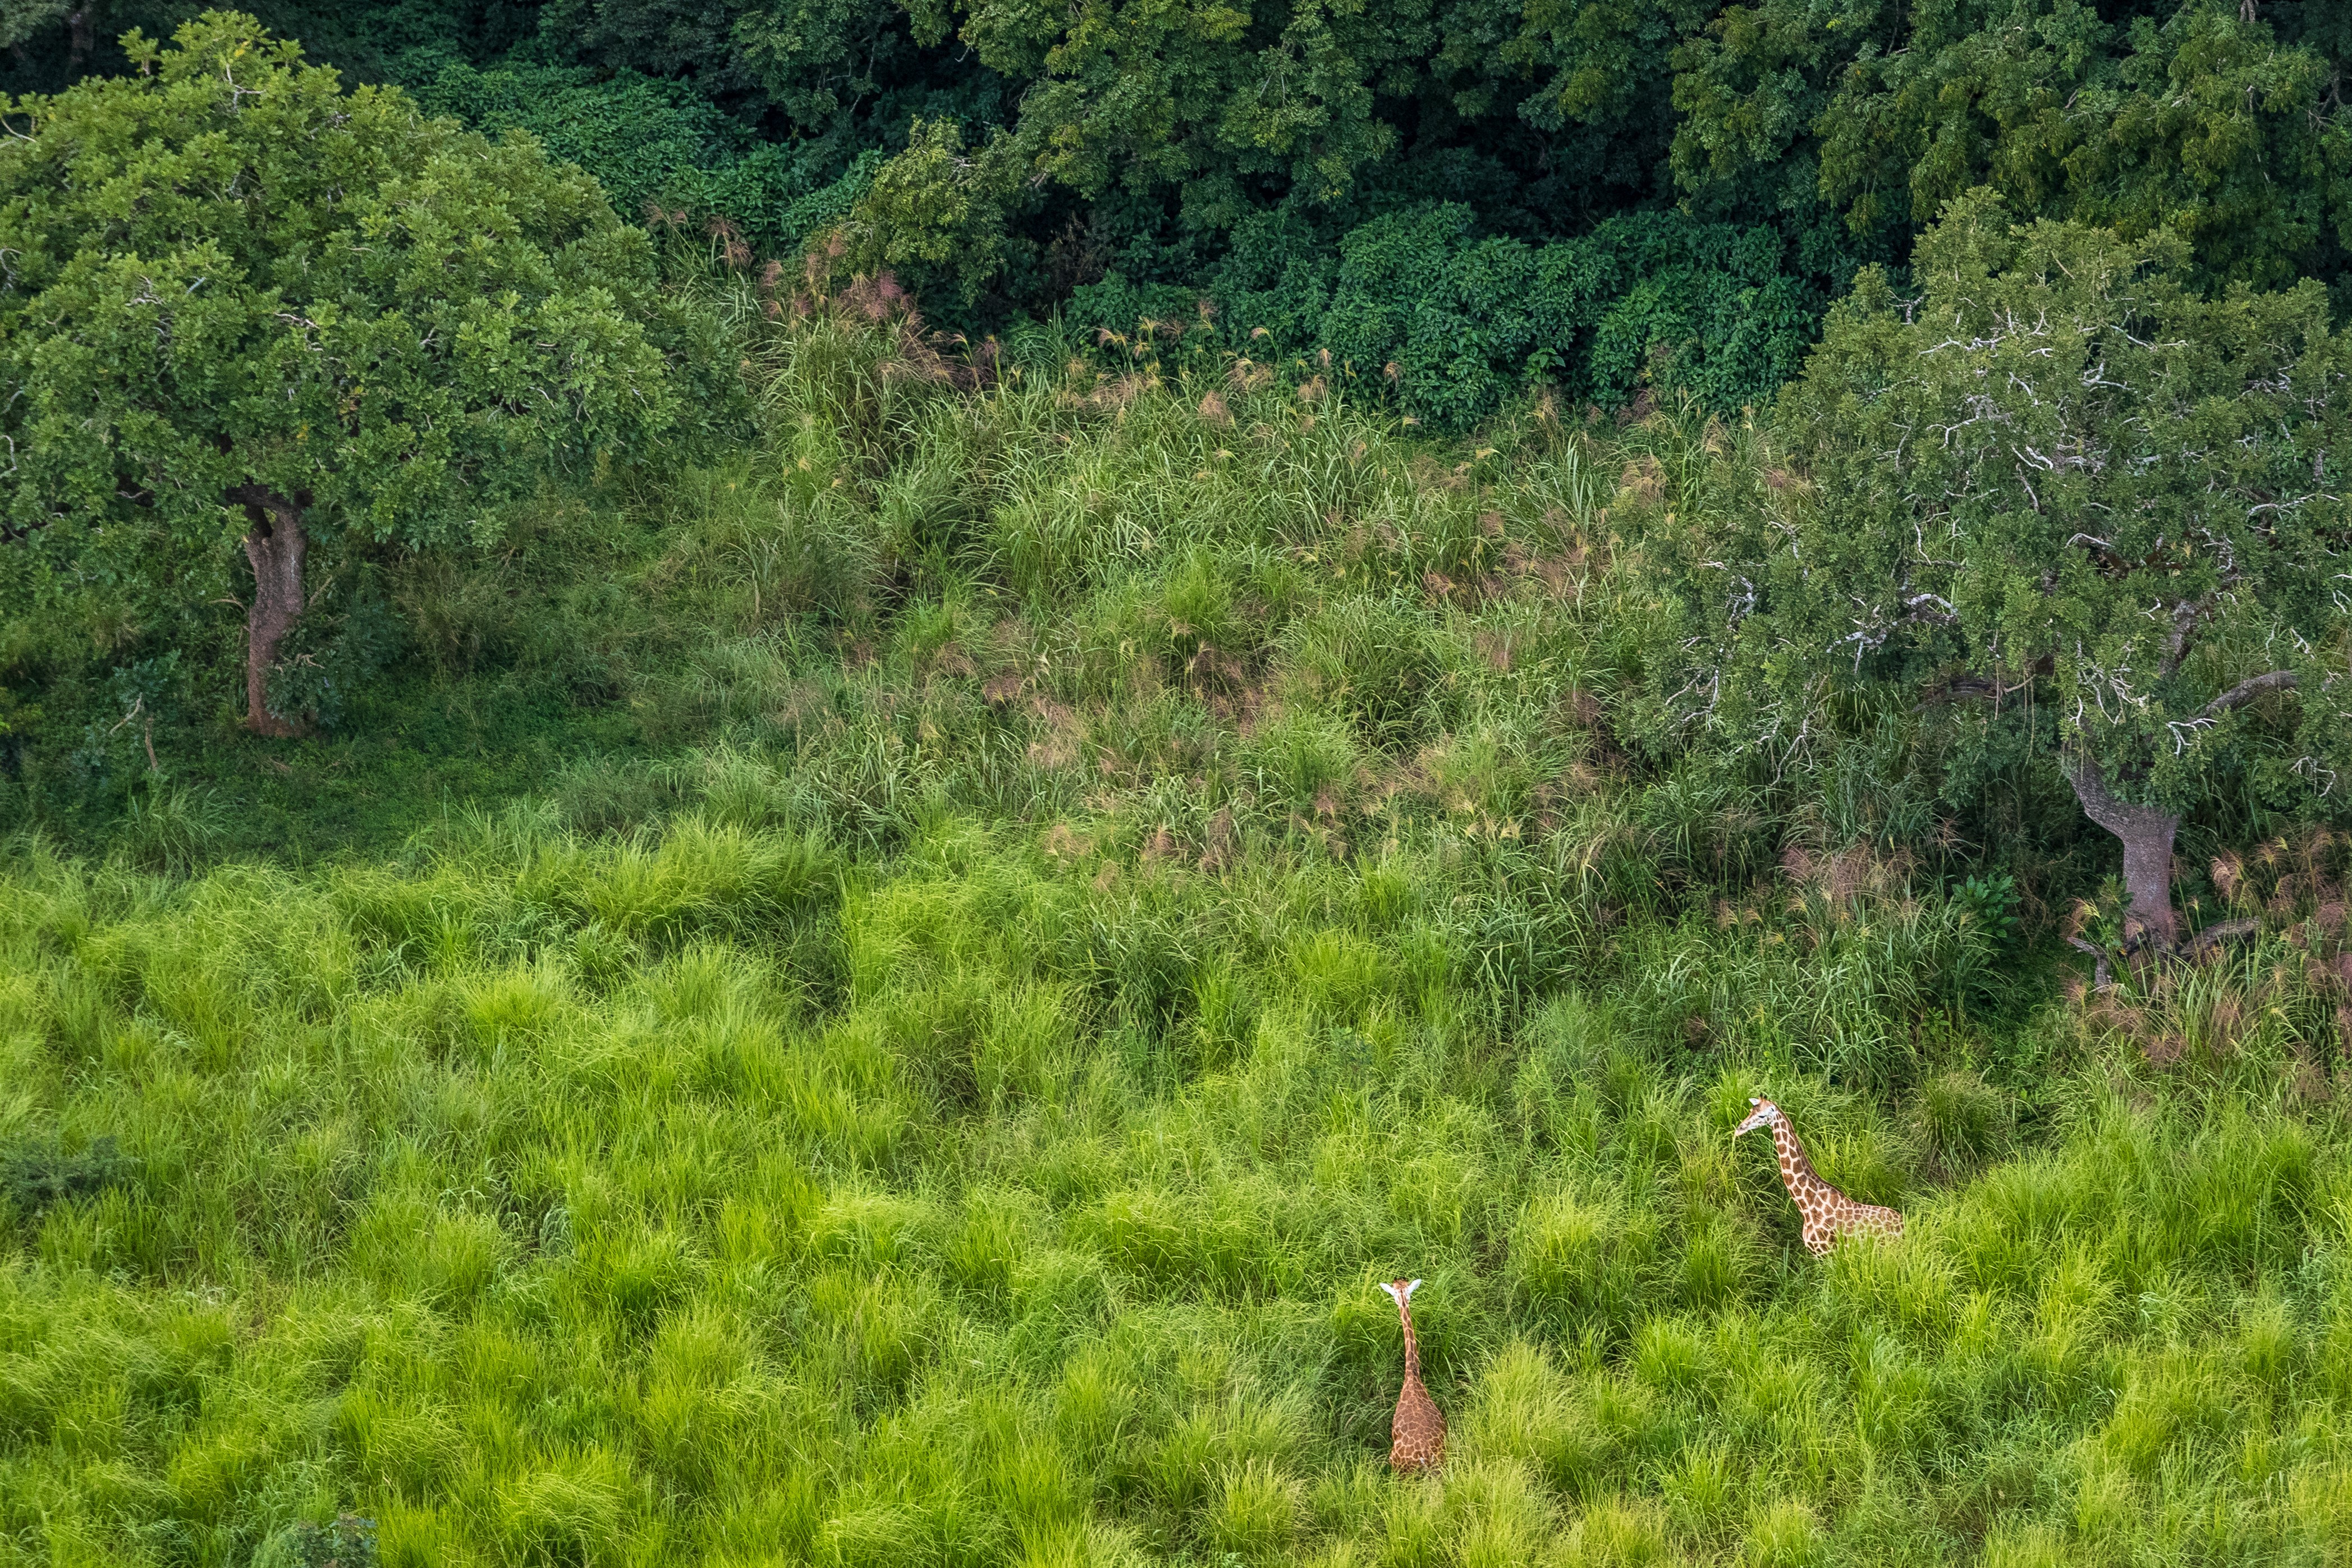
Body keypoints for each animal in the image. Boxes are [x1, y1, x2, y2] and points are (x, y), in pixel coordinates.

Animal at [1731, 1100, 1910, 1260]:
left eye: (1762, 1115)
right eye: (1751, 1111)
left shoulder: (1825, 1253)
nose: (1739, 1130)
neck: (1807, 1206)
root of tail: (1905, 1225)